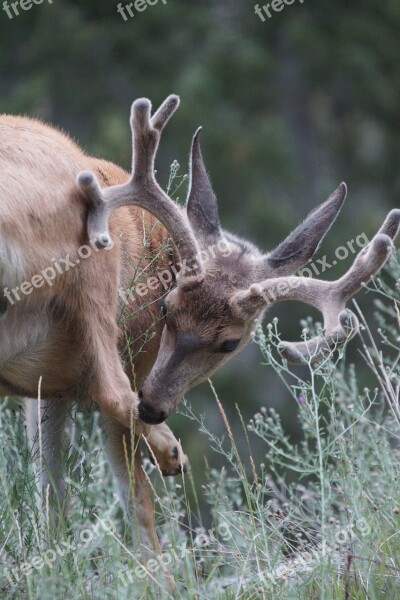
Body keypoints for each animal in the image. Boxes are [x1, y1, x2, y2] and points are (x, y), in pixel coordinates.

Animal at [0, 92, 400, 568]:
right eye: (165, 308)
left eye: (229, 342)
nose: (154, 405)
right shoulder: (132, 355)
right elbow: (134, 500)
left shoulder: (45, 391)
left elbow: (51, 493)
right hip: (96, 277)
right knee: (112, 392)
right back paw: (171, 454)